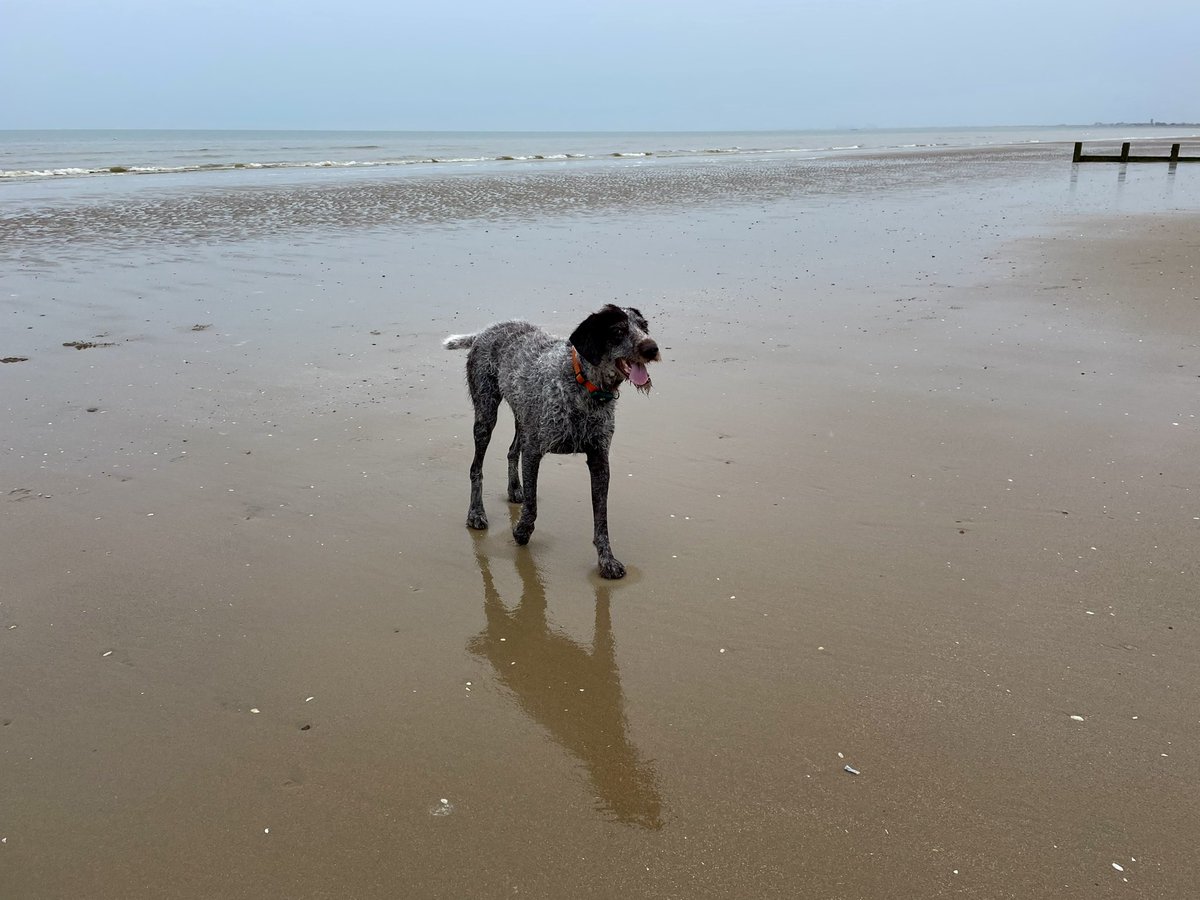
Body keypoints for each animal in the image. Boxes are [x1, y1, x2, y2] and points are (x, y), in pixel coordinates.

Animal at [446, 307, 662, 580]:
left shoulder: (599, 460)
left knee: (511, 451)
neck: (581, 385)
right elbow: (532, 506)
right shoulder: (533, 451)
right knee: (476, 468)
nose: (652, 348)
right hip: (486, 415)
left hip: (522, 417)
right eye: (618, 331)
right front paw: (522, 532)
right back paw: (476, 512)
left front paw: (606, 560)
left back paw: (514, 489)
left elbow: (601, 520)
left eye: (643, 327)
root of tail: (485, 331)